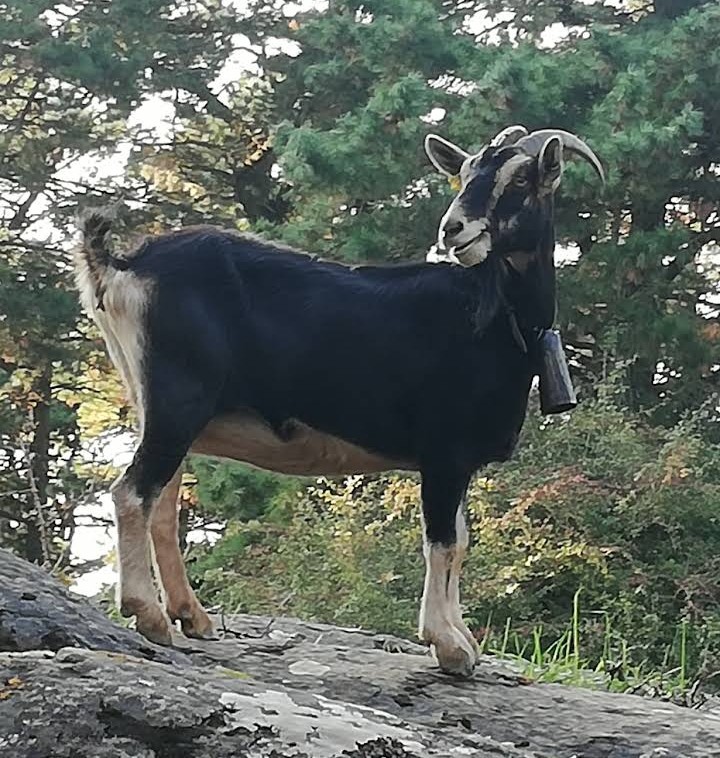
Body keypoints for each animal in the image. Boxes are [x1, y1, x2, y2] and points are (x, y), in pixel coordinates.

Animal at [74, 125, 603, 677]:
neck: (493, 313)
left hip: (163, 410)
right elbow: (443, 542)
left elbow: (459, 540)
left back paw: (191, 617)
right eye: (465, 171)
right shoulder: (444, 451)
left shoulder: (456, 463)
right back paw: (150, 616)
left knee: (161, 505)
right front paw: (449, 646)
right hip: (178, 401)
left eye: (520, 177)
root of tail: (120, 265)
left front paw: (461, 640)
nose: (454, 229)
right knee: (132, 493)